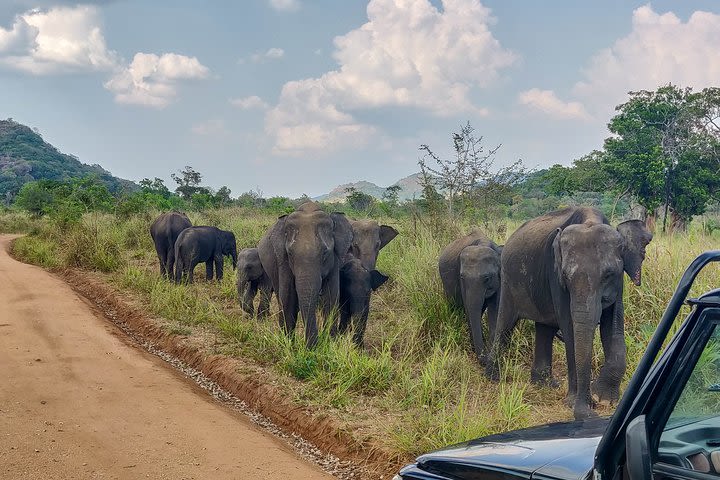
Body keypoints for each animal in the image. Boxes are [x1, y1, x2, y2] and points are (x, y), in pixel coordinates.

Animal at [258, 201, 352, 346]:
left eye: (325, 252)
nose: (311, 347)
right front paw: (289, 345)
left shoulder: (335, 260)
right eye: (290, 253)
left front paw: (330, 344)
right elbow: (288, 297)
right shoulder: (283, 261)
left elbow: (331, 297)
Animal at [484, 206, 652, 420]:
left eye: (608, 274)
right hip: (508, 280)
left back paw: (544, 384)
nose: (589, 412)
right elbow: (570, 327)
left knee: (545, 328)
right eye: (565, 276)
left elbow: (614, 324)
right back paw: (494, 378)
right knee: (505, 324)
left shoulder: (619, 281)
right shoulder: (555, 276)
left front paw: (603, 399)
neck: (590, 220)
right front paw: (577, 403)